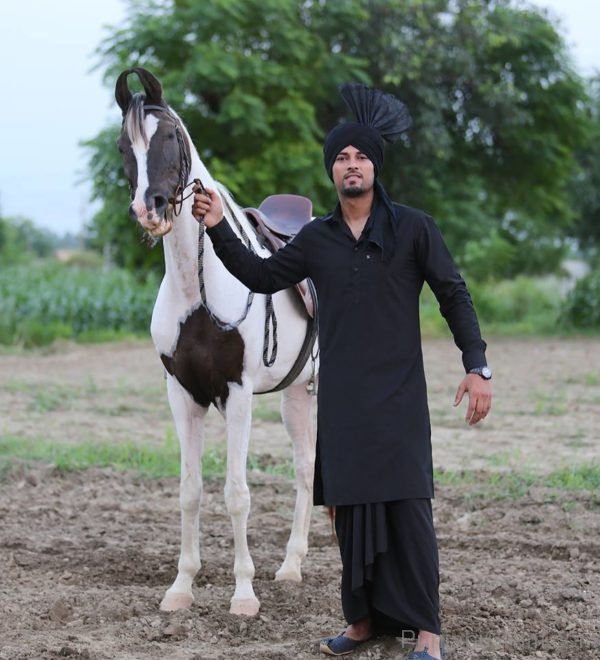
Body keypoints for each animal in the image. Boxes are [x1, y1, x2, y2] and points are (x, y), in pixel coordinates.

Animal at [113, 67, 318, 612]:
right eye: (123, 145)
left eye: (169, 135)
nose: (150, 208)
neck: (199, 291)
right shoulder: (183, 394)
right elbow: (191, 490)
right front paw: (181, 587)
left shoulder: (238, 393)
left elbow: (237, 493)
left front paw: (243, 594)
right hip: (295, 395)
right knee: (305, 468)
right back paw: (291, 565)